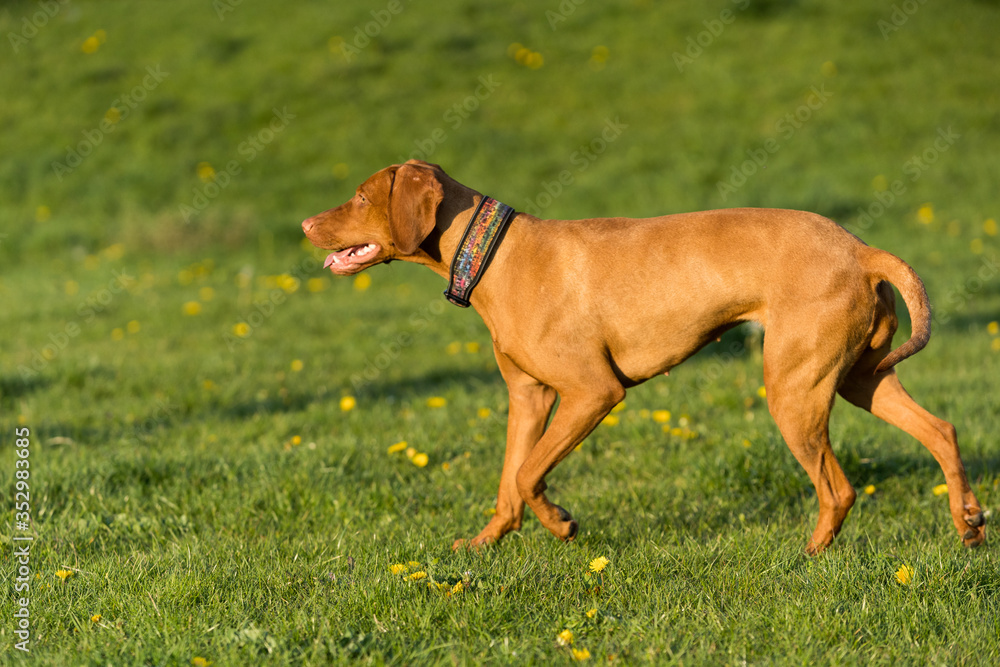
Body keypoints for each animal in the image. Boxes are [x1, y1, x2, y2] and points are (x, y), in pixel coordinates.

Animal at [302, 160, 984, 552]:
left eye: (359, 196)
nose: (305, 225)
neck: (493, 255)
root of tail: (861, 248)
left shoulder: (592, 392)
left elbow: (527, 474)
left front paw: (561, 524)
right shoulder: (528, 397)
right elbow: (508, 479)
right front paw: (485, 543)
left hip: (794, 391)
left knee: (839, 489)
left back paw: (810, 556)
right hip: (859, 379)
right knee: (942, 430)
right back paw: (969, 522)